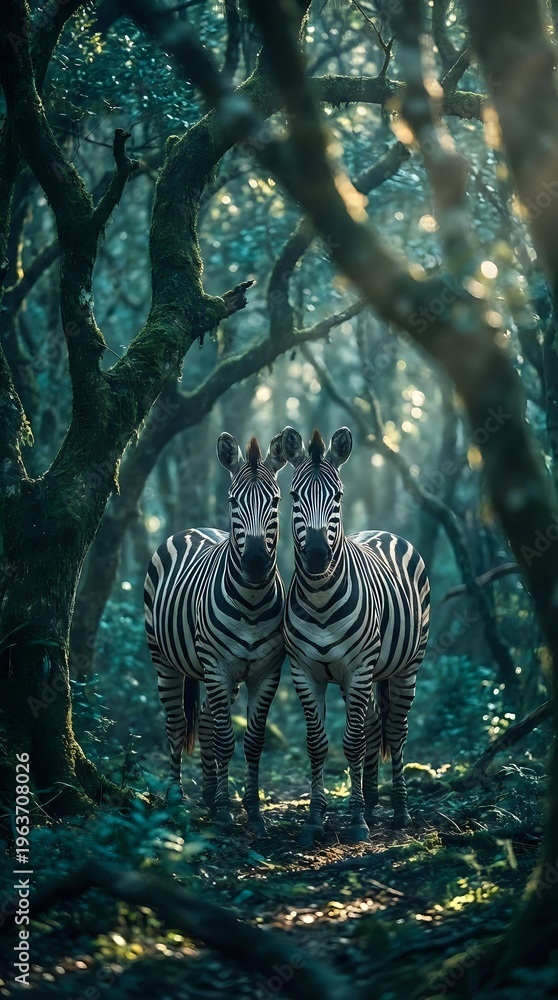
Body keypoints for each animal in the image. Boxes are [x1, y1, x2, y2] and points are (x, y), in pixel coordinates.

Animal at [144, 432, 286, 834]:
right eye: (233, 501)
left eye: (275, 501)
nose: (254, 562)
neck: (252, 603)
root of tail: (194, 529)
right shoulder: (217, 666)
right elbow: (226, 740)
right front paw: (225, 810)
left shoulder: (267, 671)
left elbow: (253, 742)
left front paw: (253, 812)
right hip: (165, 660)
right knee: (177, 724)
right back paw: (176, 797)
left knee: (206, 718)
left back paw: (208, 794)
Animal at [281, 426, 430, 845]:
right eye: (294, 497)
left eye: (338, 497)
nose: (317, 556)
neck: (319, 601)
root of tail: (382, 532)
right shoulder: (303, 671)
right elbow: (317, 745)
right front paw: (316, 820)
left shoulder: (358, 668)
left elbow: (352, 742)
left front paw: (356, 822)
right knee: (376, 725)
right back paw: (372, 800)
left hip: (405, 667)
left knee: (395, 730)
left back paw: (399, 811)